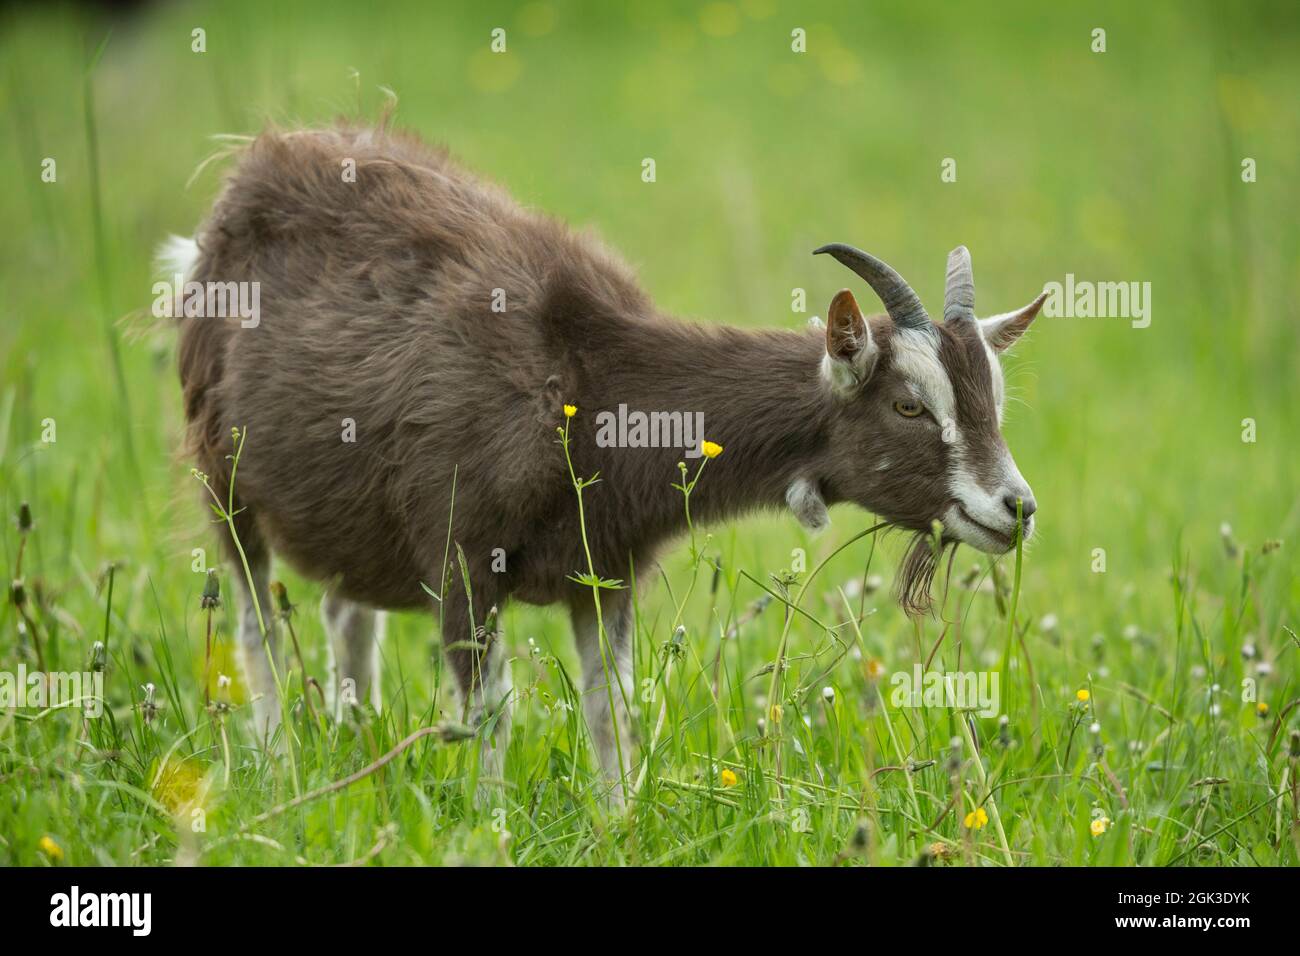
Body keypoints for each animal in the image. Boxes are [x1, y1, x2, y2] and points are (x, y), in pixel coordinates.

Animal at [165, 125, 1045, 801]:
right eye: (909, 405)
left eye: (993, 400)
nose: (1016, 508)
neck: (594, 383)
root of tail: (250, 170)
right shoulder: (462, 557)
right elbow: (489, 711)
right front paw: (490, 825)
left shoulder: (607, 570)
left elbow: (612, 707)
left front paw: (615, 820)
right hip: (223, 480)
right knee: (255, 622)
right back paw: (277, 766)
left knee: (347, 616)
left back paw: (351, 745)